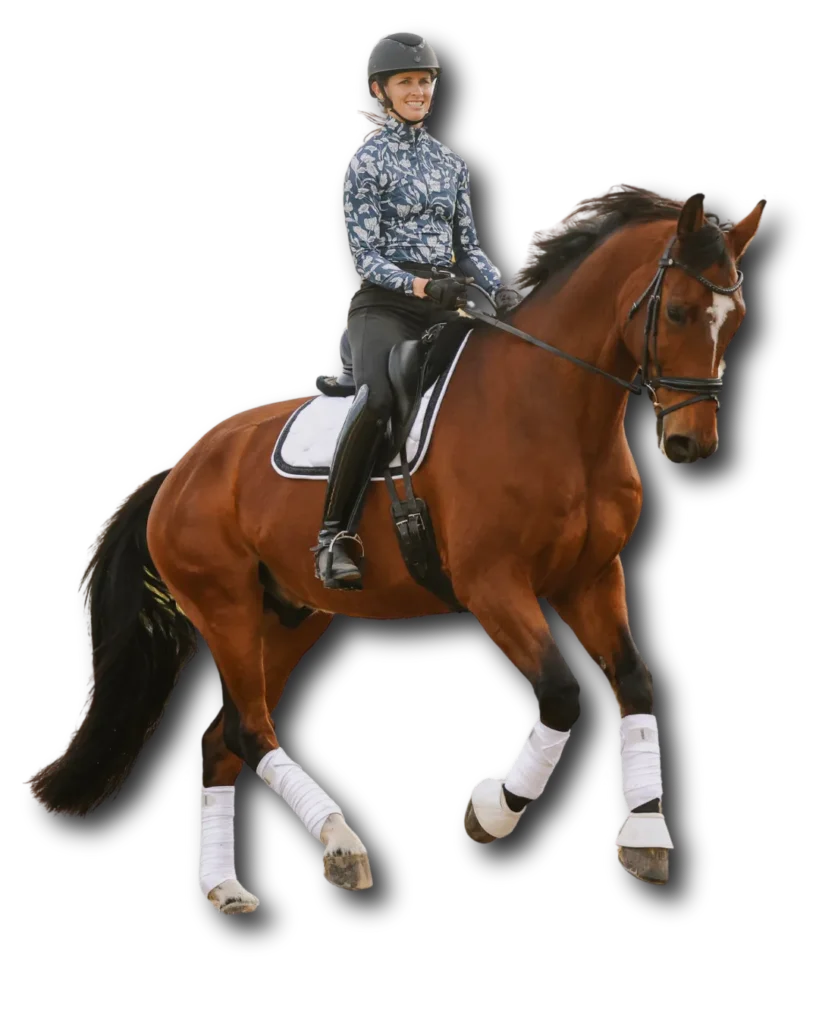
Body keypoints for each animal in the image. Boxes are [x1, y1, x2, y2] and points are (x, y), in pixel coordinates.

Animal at [25, 185, 766, 915]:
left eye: (734, 320)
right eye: (677, 311)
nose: (691, 444)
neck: (555, 411)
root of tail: (180, 469)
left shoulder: (590, 577)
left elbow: (633, 679)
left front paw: (646, 834)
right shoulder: (493, 585)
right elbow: (559, 692)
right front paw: (492, 808)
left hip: (289, 617)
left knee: (223, 739)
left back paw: (225, 886)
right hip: (224, 608)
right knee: (249, 731)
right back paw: (341, 842)